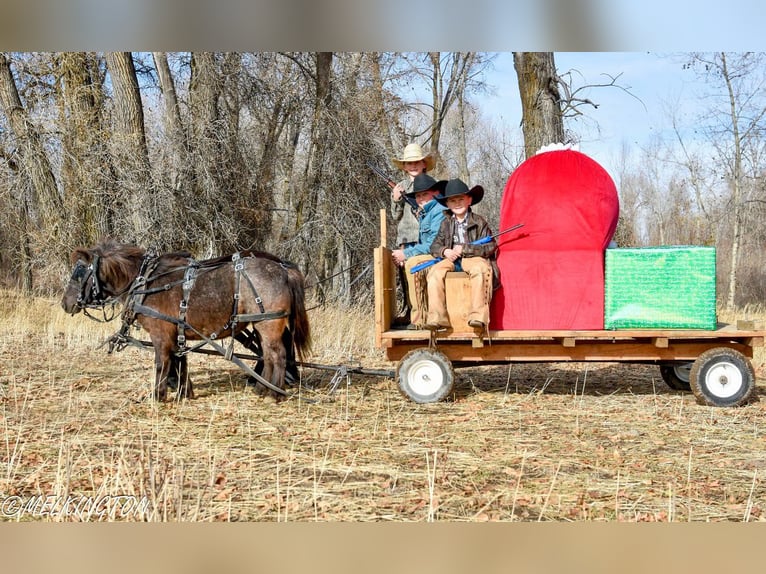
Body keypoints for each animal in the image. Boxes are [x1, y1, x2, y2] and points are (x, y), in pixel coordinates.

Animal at [60, 241, 312, 402]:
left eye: (79, 273)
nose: (65, 303)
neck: (146, 283)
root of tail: (283, 269)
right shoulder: (176, 332)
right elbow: (180, 360)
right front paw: (184, 392)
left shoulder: (161, 335)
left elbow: (162, 362)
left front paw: (158, 395)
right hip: (260, 325)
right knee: (267, 356)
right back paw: (262, 388)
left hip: (268, 325)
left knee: (277, 356)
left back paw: (274, 393)